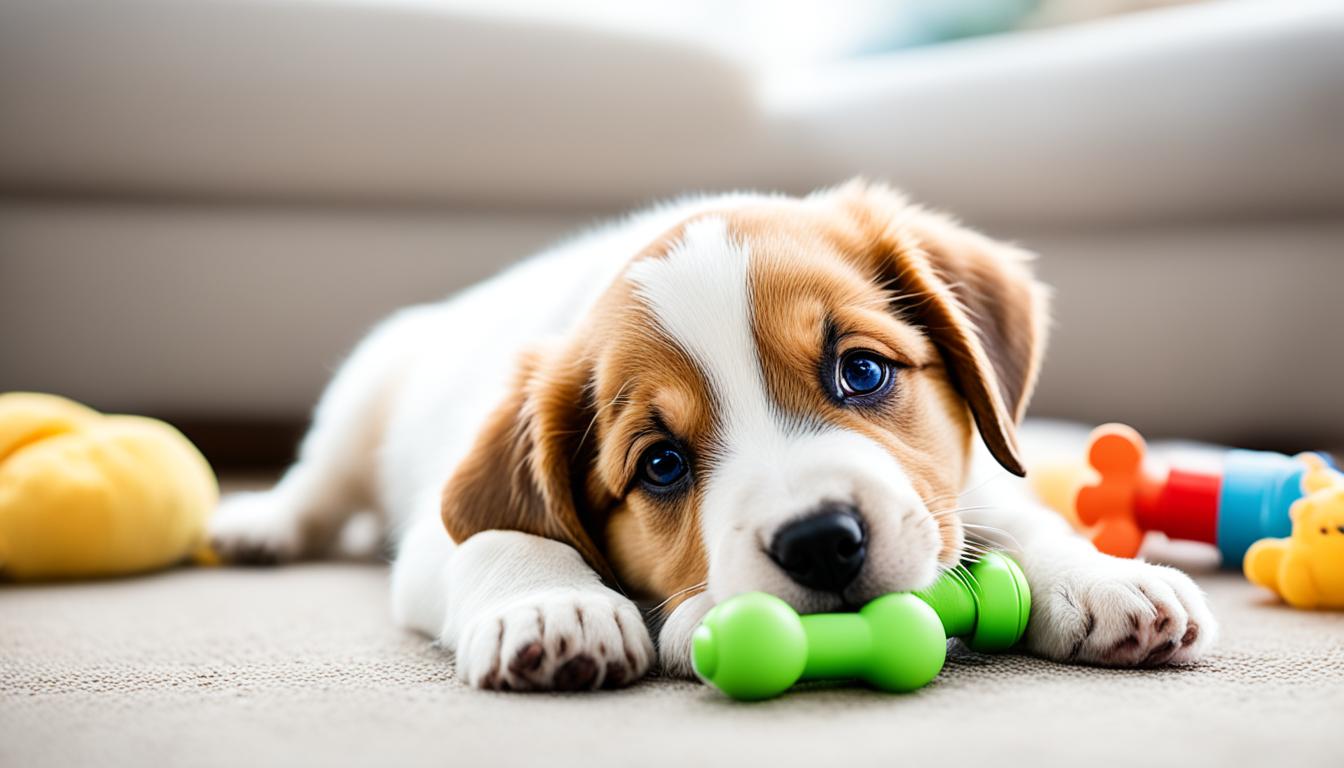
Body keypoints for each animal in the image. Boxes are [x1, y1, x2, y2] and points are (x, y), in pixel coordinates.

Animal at [212, 180, 1220, 688]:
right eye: (662, 464)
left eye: (861, 372)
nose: (821, 543)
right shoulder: (437, 529)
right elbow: (505, 538)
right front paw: (554, 607)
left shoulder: (964, 482)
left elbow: (1018, 515)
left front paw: (1102, 578)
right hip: (360, 393)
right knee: (314, 483)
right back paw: (258, 523)